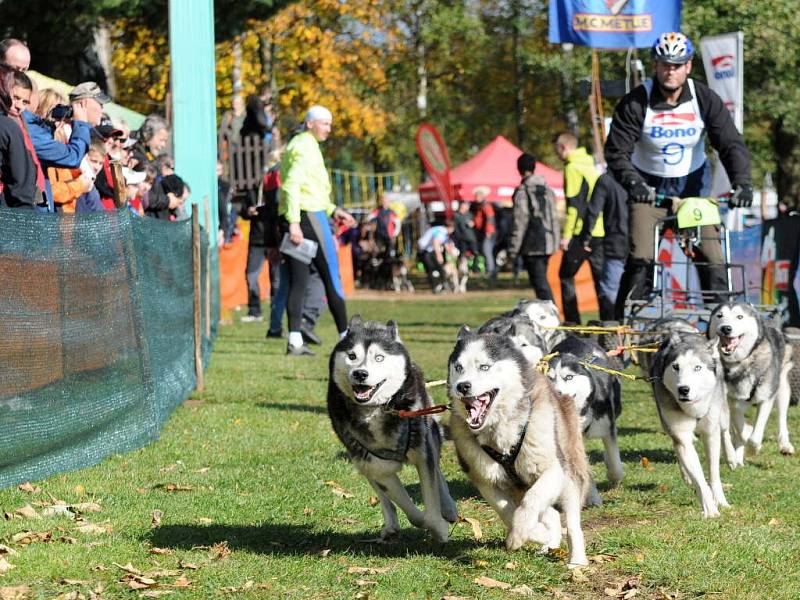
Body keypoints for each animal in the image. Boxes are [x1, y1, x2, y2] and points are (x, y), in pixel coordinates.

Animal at [326, 316, 456, 540]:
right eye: (352, 356)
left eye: (379, 357)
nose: (360, 373)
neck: (379, 408)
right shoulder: (378, 467)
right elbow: (413, 514)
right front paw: (432, 525)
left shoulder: (423, 453)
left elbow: (431, 494)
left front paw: (439, 528)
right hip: (361, 462)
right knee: (383, 496)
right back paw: (391, 525)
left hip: (429, 432)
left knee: (438, 472)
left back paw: (448, 508)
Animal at [446, 328, 592, 568]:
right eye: (459, 368)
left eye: (484, 366)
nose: (462, 386)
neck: (500, 427)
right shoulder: (485, 479)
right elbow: (506, 511)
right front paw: (533, 533)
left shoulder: (553, 470)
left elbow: (532, 501)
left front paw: (520, 534)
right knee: (550, 514)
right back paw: (549, 542)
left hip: (569, 473)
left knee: (571, 522)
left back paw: (577, 560)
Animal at [548, 338, 620, 502]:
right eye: (550, 378)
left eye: (569, 377)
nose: (556, 392)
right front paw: (592, 497)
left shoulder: (607, 429)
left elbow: (615, 462)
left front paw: (614, 475)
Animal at [652, 330, 736, 516]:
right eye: (676, 367)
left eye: (697, 368)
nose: (683, 389)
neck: (693, 407)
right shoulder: (679, 432)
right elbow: (699, 477)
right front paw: (710, 509)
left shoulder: (711, 432)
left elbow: (713, 472)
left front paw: (720, 501)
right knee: (678, 445)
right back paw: (686, 475)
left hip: (721, 410)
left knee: (725, 431)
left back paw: (732, 458)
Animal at [708, 302, 792, 458]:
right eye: (719, 315)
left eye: (740, 317)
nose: (726, 328)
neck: (742, 362)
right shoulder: (732, 401)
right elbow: (741, 431)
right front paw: (744, 436)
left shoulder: (766, 397)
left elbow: (754, 437)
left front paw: (754, 448)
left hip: (781, 387)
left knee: (782, 417)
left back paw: (785, 445)